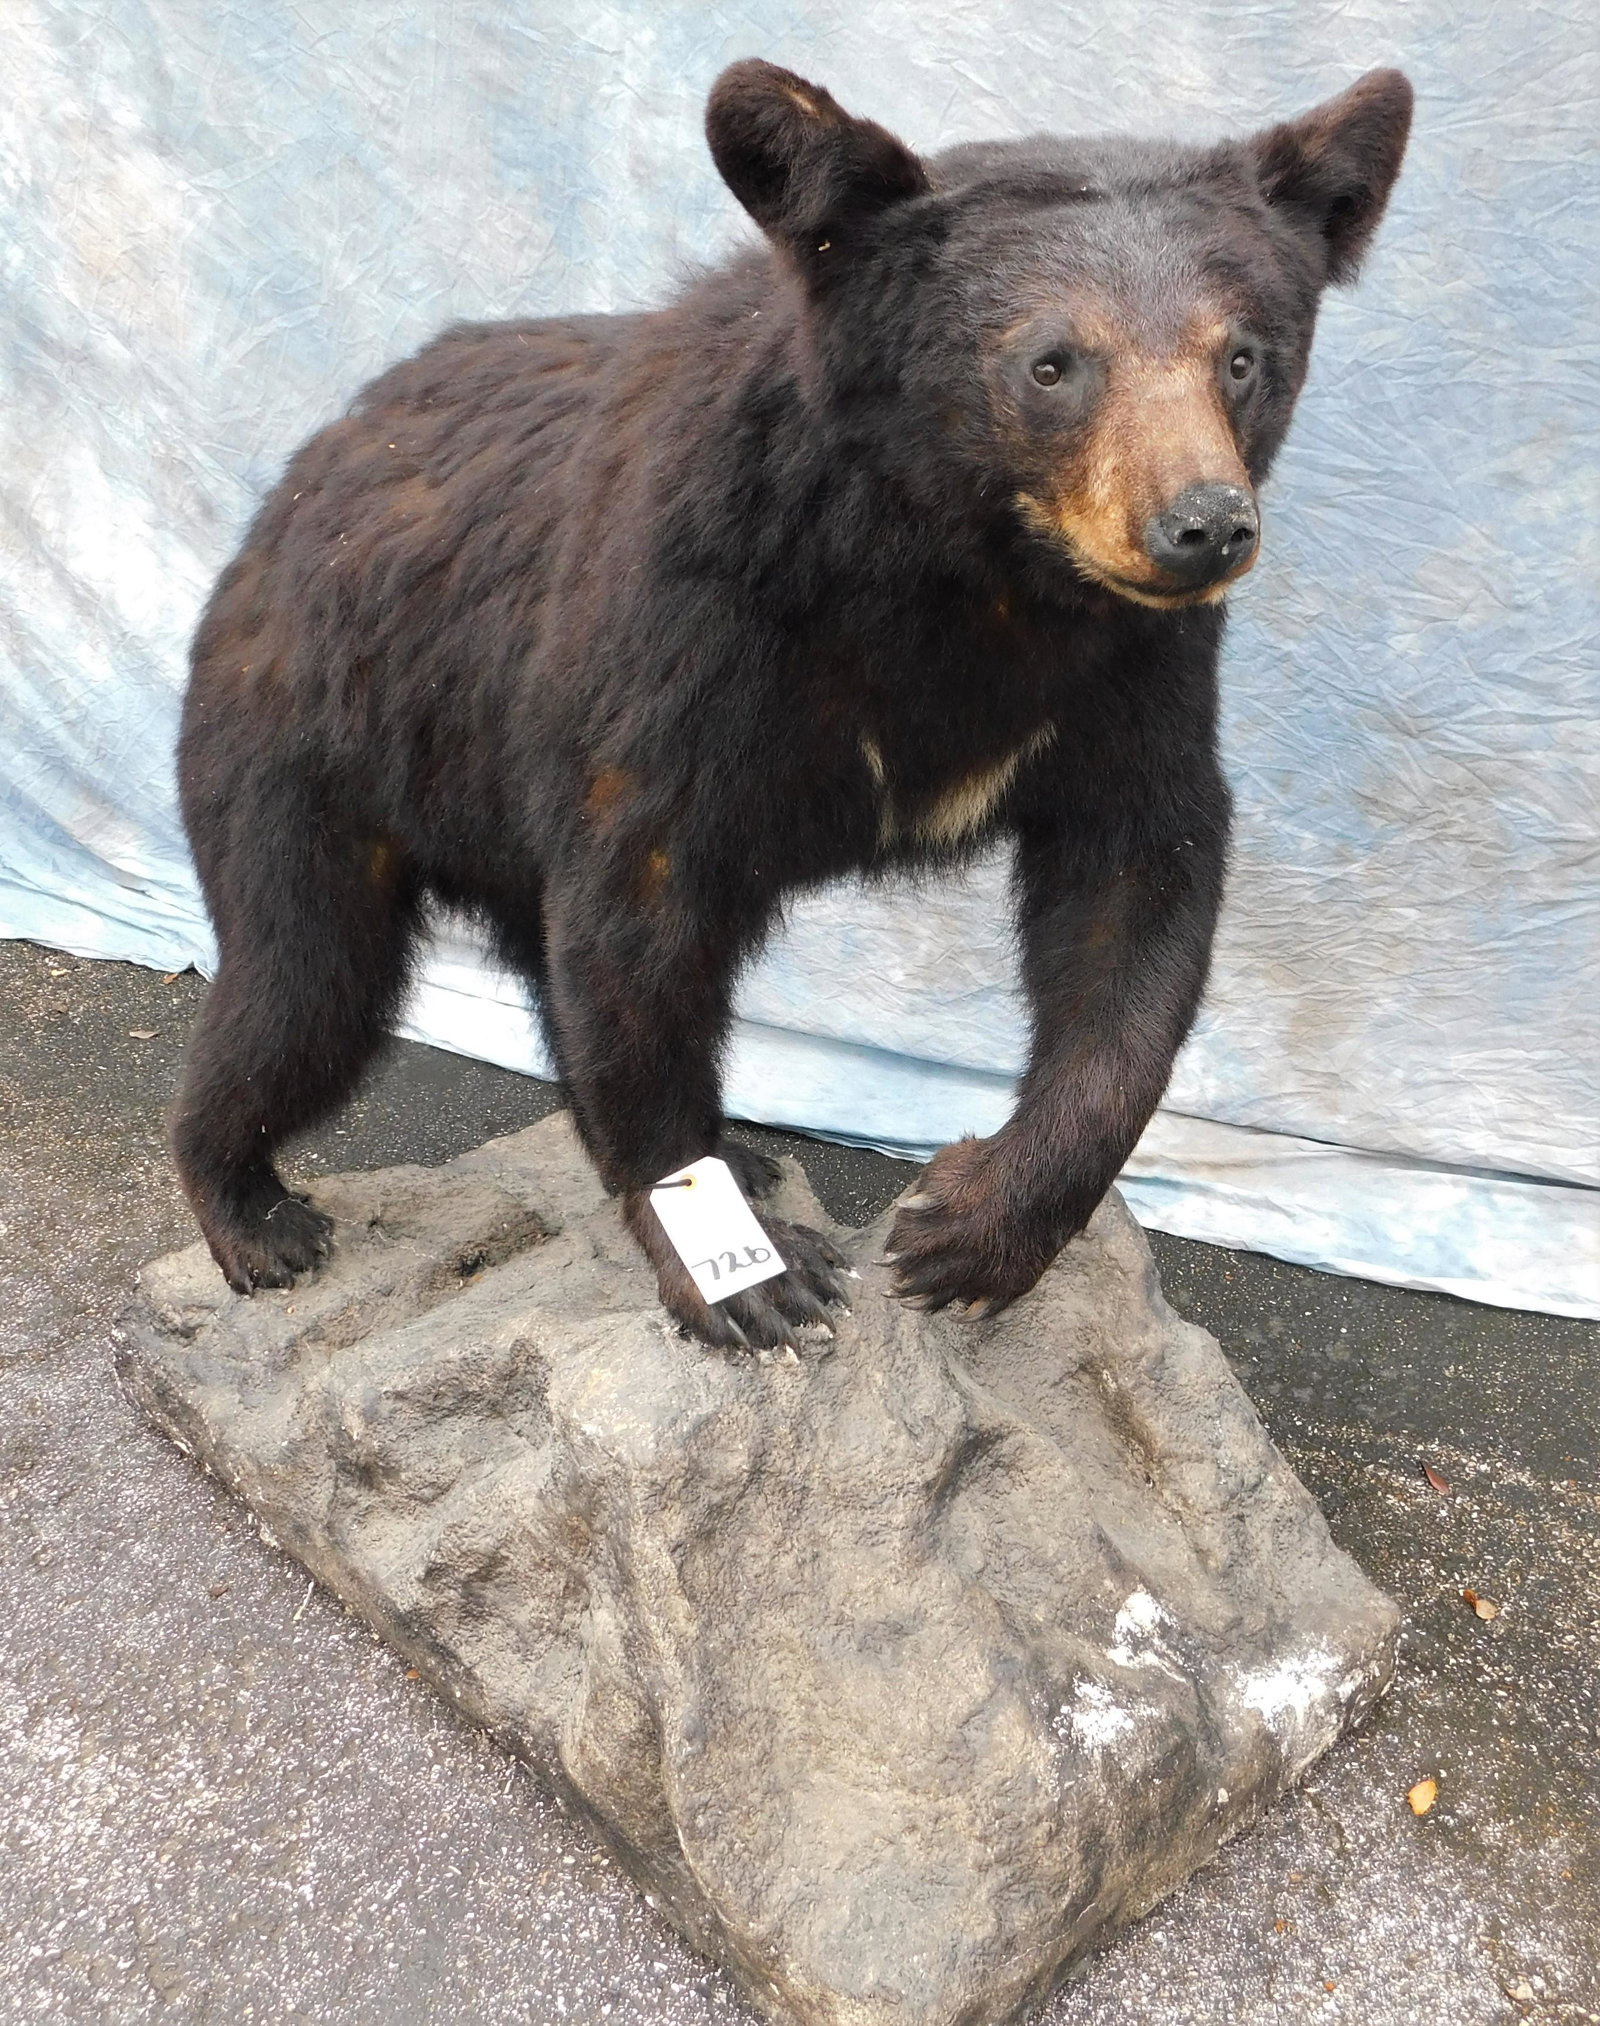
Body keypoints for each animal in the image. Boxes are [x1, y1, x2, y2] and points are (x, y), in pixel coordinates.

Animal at [172, 58, 1412, 1350]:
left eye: (1242, 356)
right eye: (1052, 361)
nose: (1202, 527)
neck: (962, 575)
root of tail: (300, 475)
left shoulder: (1135, 670)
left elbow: (1140, 884)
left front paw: (969, 1231)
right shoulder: (687, 631)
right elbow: (638, 903)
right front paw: (747, 1277)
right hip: (313, 743)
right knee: (305, 983)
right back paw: (253, 1215)